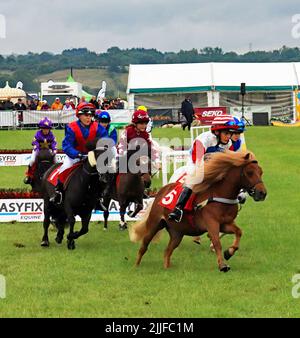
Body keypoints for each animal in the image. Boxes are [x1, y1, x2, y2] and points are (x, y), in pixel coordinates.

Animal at [129, 151, 268, 272]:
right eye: (249, 172)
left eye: (261, 172)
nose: (262, 193)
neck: (219, 194)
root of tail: (161, 191)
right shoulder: (211, 223)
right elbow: (217, 242)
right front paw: (222, 265)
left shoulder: (225, 224)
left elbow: (238, 232)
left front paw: (229, 252)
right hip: (154, 224)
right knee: (144, 245)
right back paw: (136, 266)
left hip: (177, 233)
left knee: (167, 251)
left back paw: (166, 267)